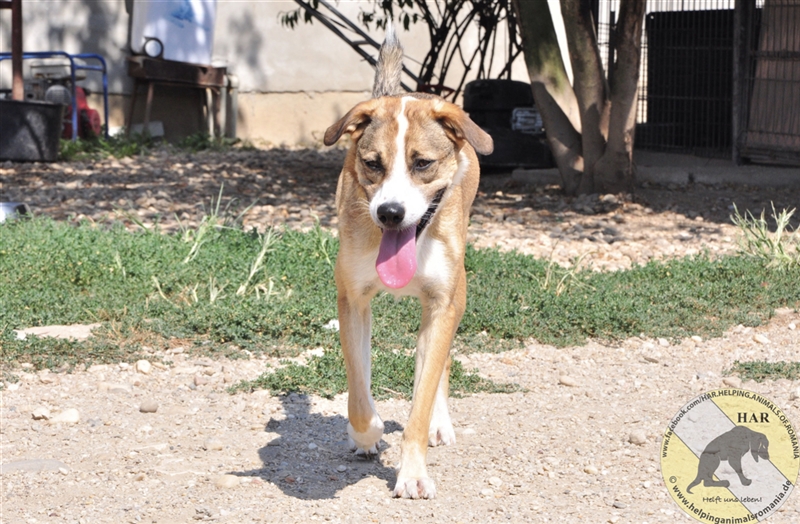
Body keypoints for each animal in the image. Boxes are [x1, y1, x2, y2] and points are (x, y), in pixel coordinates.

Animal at [322, 26, 493, 499]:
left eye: (422, 163)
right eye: (371, 163)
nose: (390, 213)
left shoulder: (443, 304)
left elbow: (422, 393)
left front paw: (413, 471)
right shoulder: (352, 300)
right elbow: (359, 391)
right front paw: (367, 434)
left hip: (457, 293)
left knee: (439, 364)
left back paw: (438, 421)